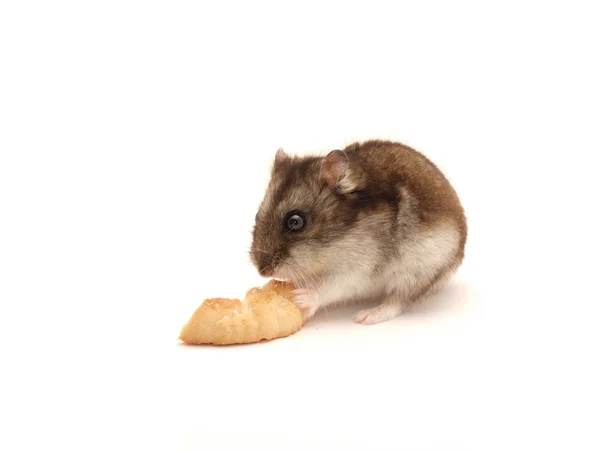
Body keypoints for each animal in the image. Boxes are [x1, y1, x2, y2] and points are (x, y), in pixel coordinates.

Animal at [251, 140, 466, 324]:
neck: (334, 245)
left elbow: (330, 286)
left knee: (398, 301)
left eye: (295, 222)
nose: (263, 272)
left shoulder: (358, 268)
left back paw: (366, 316)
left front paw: (300, 298)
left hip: (421, 271)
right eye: (257, 214)